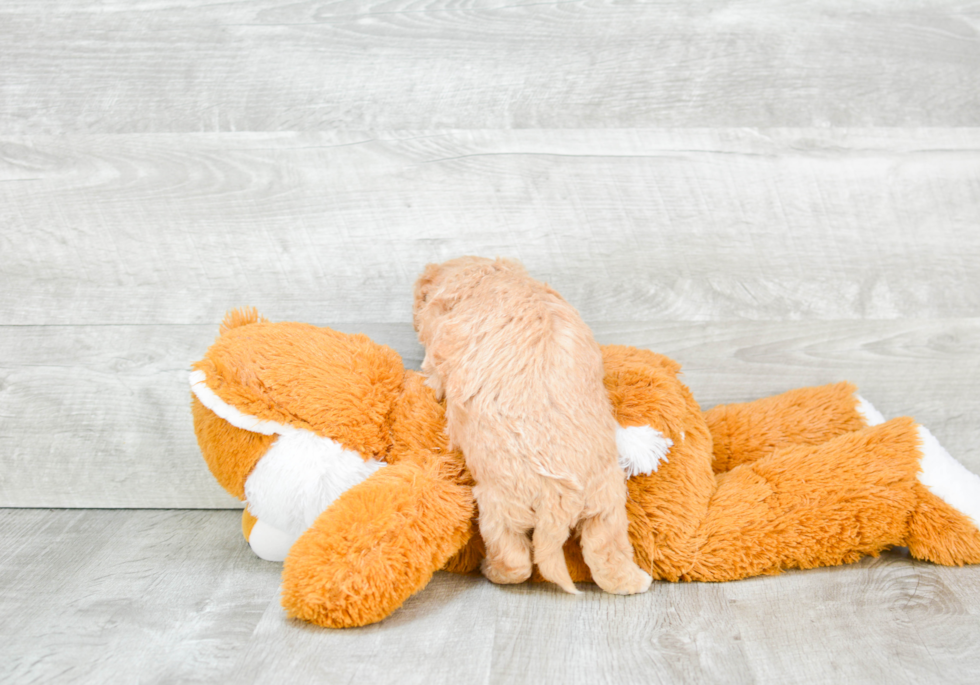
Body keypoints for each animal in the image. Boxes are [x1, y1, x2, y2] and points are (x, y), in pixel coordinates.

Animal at [412, 256, 652, 592]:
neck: (488, 277)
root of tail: (559, 500)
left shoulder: (440, 349)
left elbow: (433, 373)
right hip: (607, 503)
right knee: (606, 550)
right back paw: (635, 581)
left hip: (499, 505)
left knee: (515, 560)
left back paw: (493, 570)